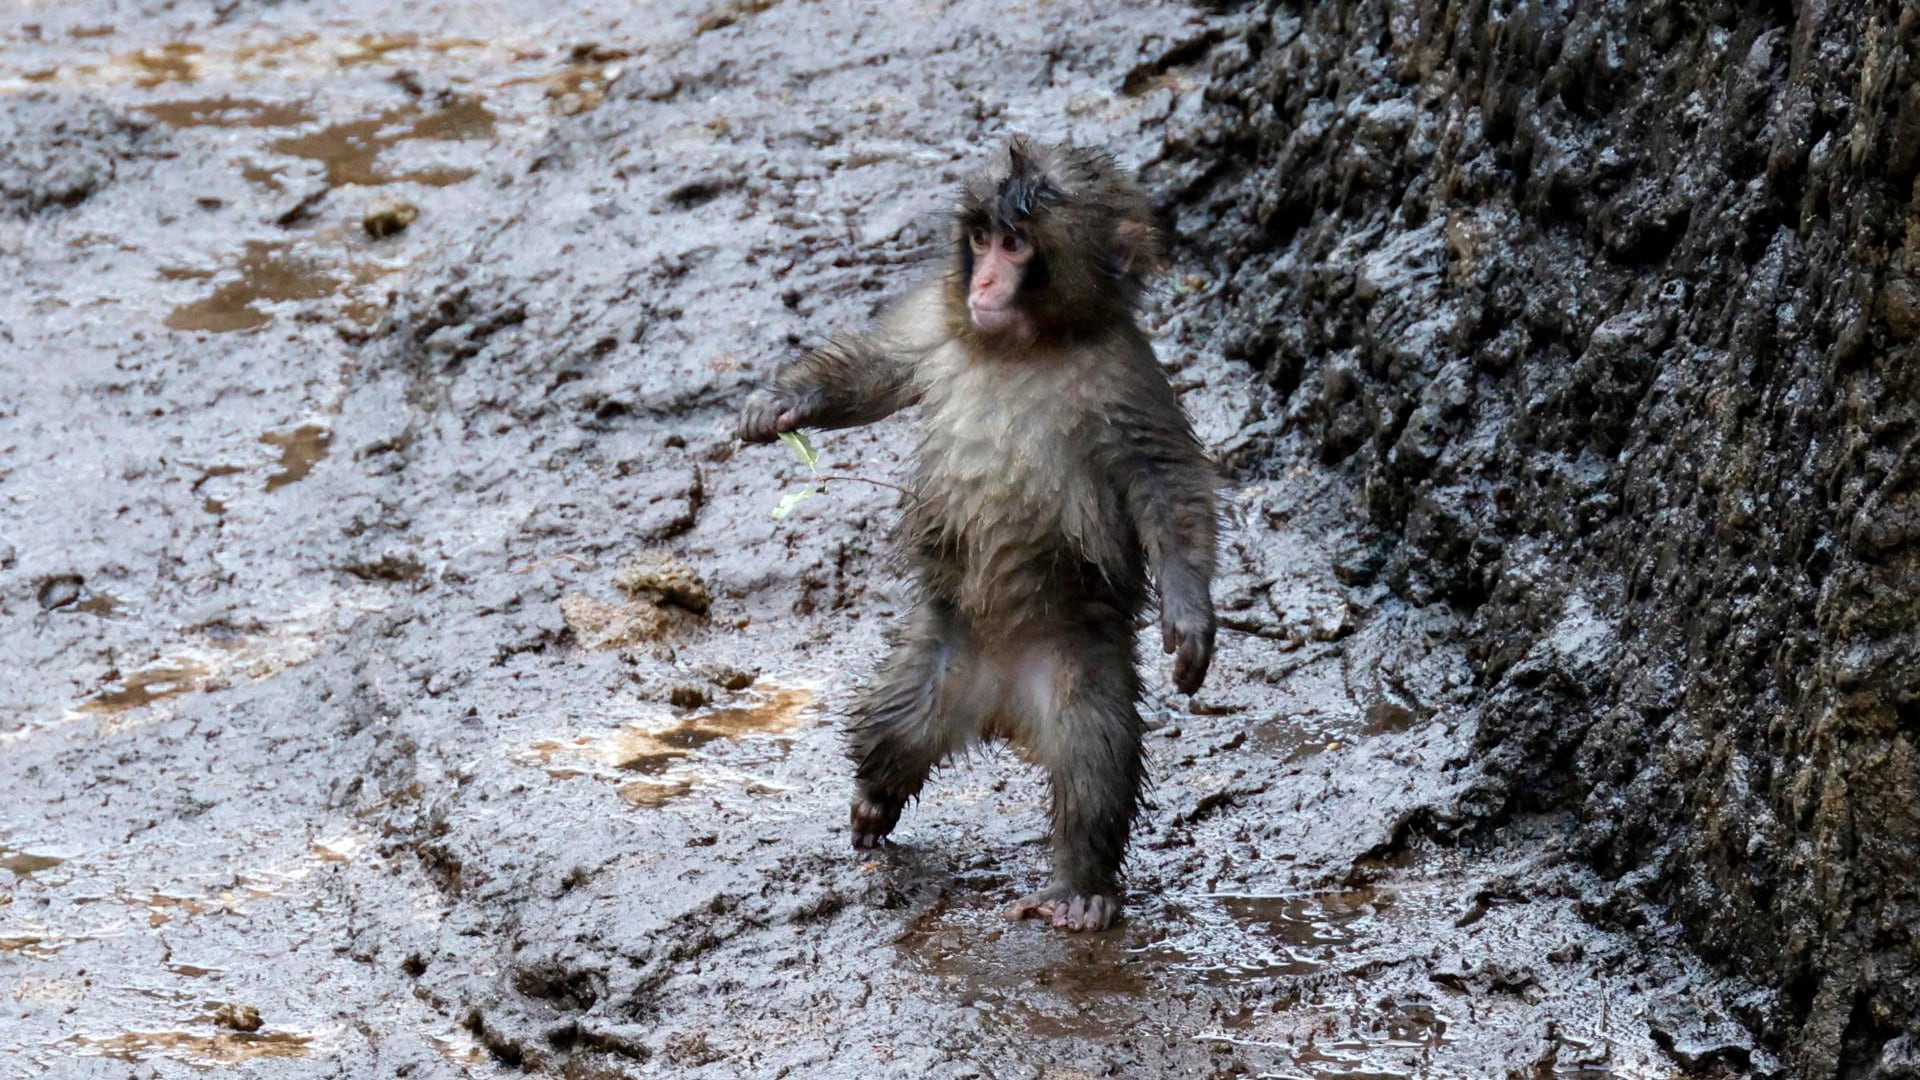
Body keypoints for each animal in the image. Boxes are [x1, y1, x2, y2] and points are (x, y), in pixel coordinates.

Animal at [737, 138, 1218, 932]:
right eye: (984, 237)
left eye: (1018, 243)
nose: (987, 279)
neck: (1024, 348)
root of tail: (1001, 706)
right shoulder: (942, 316)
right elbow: (879, 372)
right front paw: (782, 402)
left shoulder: (1121, 379)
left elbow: (1163, 482)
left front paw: (1189, 614)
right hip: (944, 653)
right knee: (898, 718)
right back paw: (876, 797)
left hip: (1074, 664)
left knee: (1095, 750)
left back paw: (1080, 883)